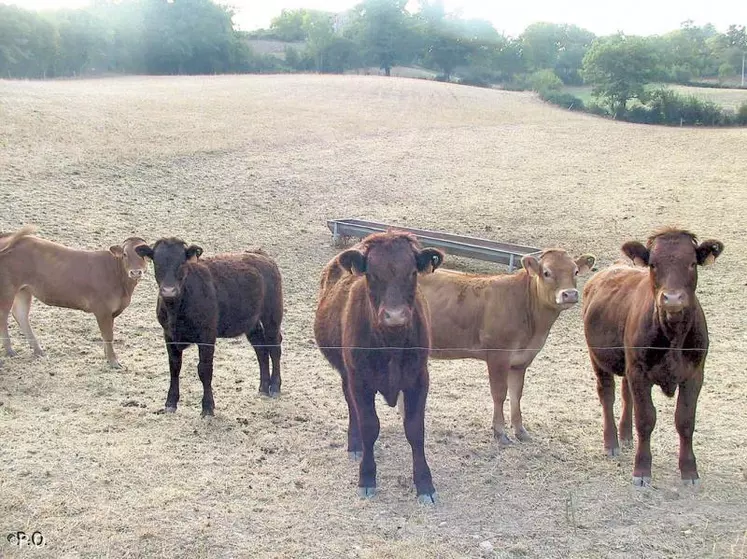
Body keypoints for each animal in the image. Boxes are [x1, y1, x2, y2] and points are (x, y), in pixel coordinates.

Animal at [0, 225, 149, 370]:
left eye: (144, 254)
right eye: (125, 254)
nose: (136, 272)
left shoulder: (111, 312)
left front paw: (107, 357)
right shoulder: (103, 309)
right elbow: (108, 335)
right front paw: (113, 361)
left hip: (23, 290)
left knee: (21, 315)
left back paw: (38, 351)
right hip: (8, 288)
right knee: (3, 316)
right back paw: (10, 351)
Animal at [134, 238, 284, 418]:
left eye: (182, 263)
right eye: (157, 262)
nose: (169, 291)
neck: (176, 310)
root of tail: (261, 255)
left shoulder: (207, 335)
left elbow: (204, 370)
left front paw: (207, 407)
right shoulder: (168, 334)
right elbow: (174, 367)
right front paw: (170, 403)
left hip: (272, 316)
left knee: (274, 348)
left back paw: (274, 387)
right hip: (251, 323)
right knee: (261, 349)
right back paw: (263, 388)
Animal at [314, 231, 444, 504]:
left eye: (412, 272)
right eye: (372, 274)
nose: (394, 316)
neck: (391, 344)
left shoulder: (419, 379)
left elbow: (415, 429)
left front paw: (424, 484)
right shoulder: (360, 382)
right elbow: (369, 426)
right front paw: (367, 478)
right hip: (347, 374)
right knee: (351, 405)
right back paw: (354, 445)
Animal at [418, 249, 600, 446]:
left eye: (575, 271)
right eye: (546, 272)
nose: (570, 294)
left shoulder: (520, 361)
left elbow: (516, 394)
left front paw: (521, 431)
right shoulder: (498, 356)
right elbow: (499, 393)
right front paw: (500, 432)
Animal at [584, 228, 724, 486]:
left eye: (692, 263)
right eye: (652, 264)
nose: (672, 299)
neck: (673, 335)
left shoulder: (695, 375)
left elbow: (685, 421)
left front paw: (689, 471)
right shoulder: (640, 374)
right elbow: (646, 419)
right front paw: (641, 470)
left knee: (626, 394)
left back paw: (625, 435)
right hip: (598, 358)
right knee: (607, 395)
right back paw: (612, 442)